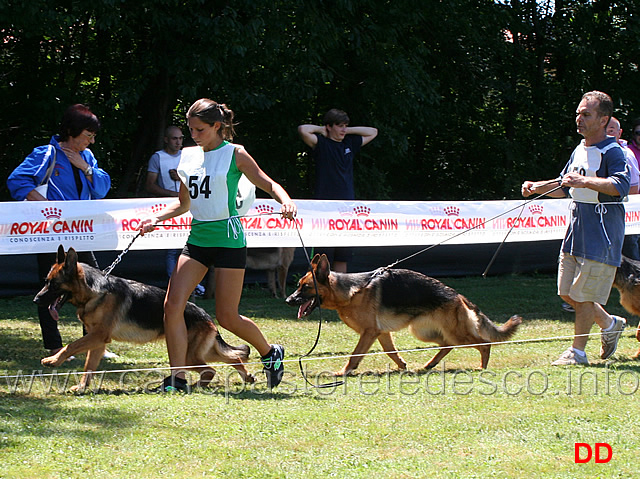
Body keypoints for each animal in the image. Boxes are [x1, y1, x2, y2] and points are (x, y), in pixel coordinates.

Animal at [32, 248, 252, 394]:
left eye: (53, 285)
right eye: (46, 282)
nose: (36, 300)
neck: (94, 291)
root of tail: (206, 315)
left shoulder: (97, 336)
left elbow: (70, 346)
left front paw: (53, 360)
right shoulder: (97, 342)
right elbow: (89, 367)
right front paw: (82, 387)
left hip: (190, 355)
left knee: (210, 370)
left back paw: (194, 386)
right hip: (200, 352)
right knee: (233, 358)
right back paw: (245, 376)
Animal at [288, 255, 524, 376]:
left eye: (306, 287)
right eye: (298, 285)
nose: (288, 300)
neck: (349, 292)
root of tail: (458, 296)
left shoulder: (369, 332)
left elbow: (355, 355)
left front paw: (343, 372)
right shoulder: (380, 333)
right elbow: (391, 351)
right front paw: (401, 366)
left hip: (454, 333)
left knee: (484, 344)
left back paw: (482, 367)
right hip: (423, 332)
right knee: (447, 345)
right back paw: (429, 365)